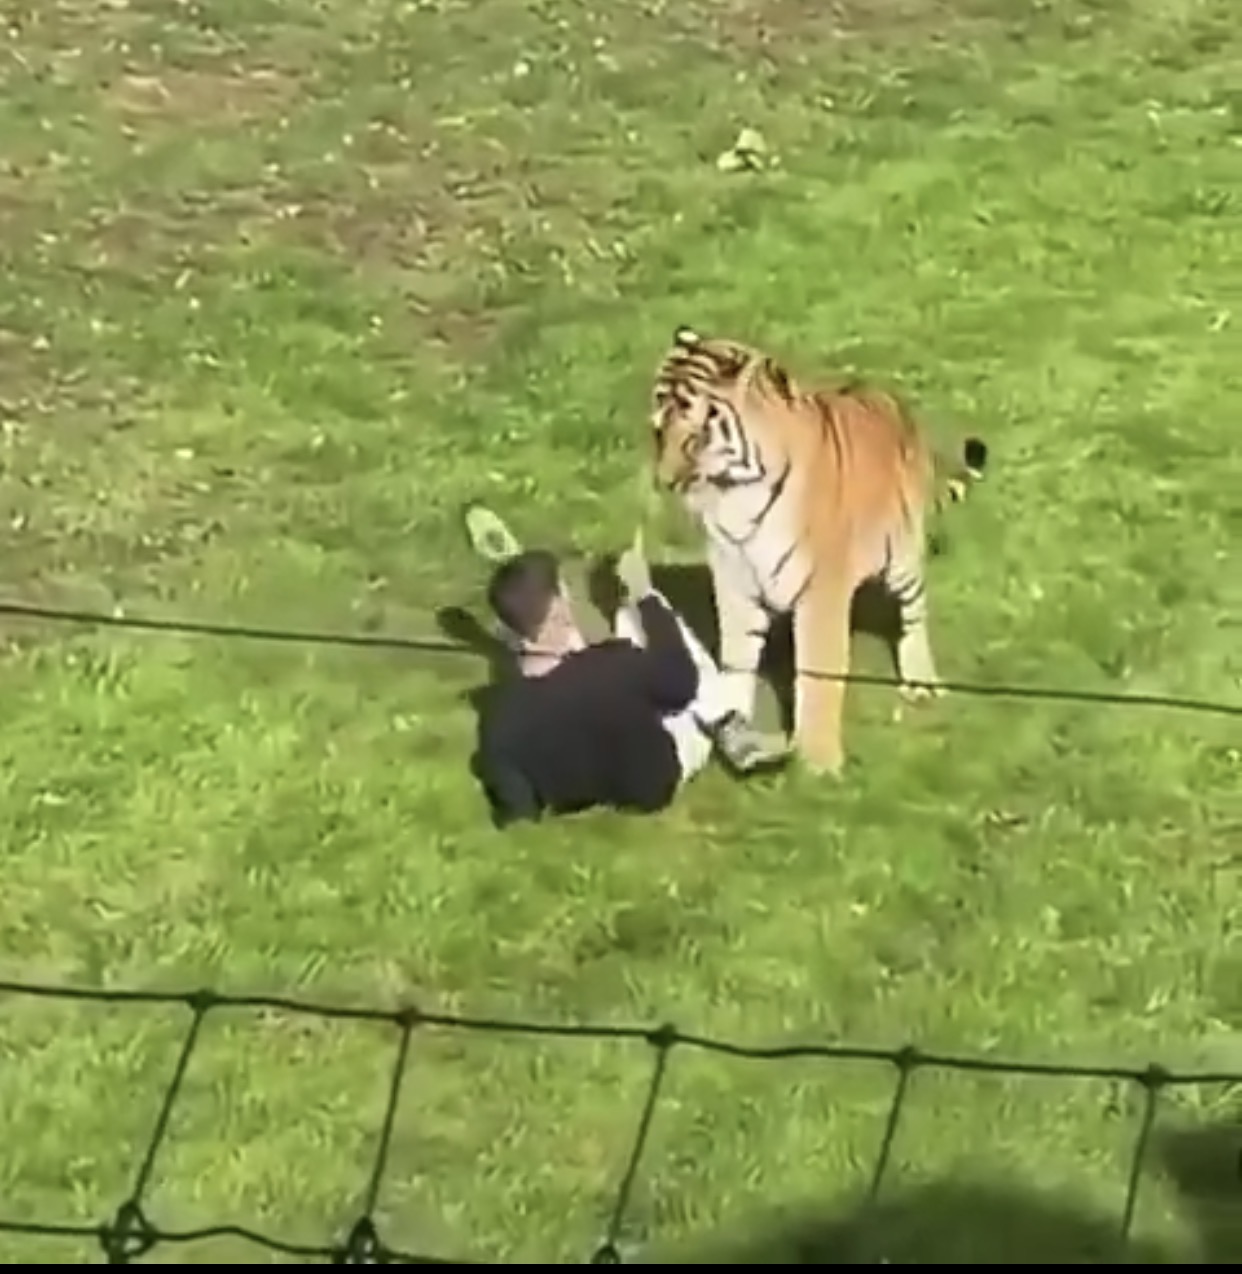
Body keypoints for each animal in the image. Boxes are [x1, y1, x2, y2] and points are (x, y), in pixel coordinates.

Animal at [649, 326, 988, 776]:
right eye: (657, 431)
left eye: (696, 437)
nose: (664, 482)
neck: (736, 498)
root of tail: (894, 401)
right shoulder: (735, 585)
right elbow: (737, 659)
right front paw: (734, 731)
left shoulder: (821, 593)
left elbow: (818, 677)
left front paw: (819, 764)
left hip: (902, 560)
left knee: (914, 614)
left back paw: (920, 681)